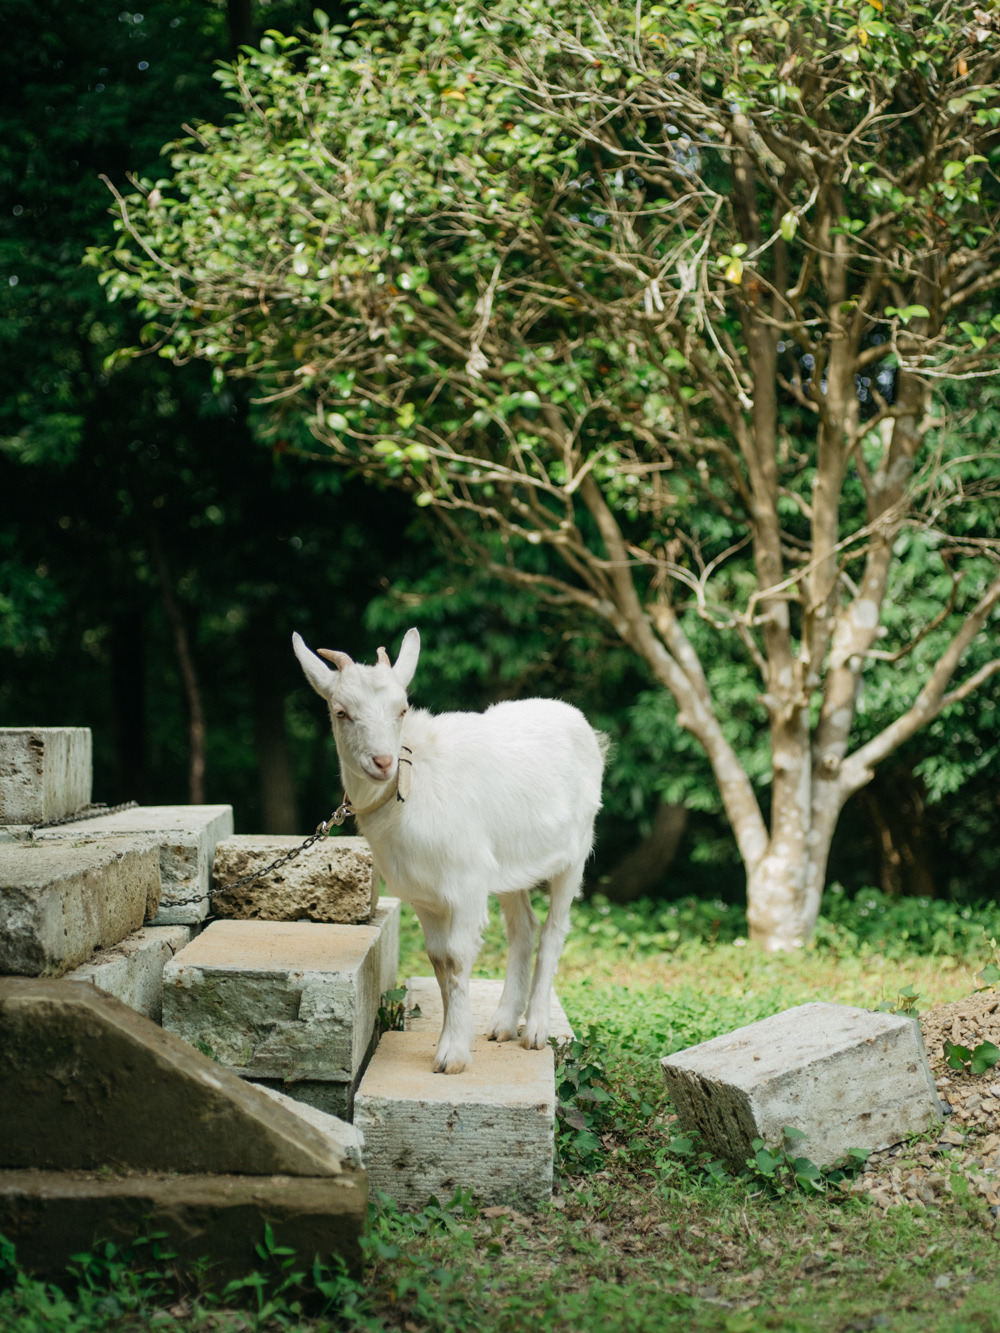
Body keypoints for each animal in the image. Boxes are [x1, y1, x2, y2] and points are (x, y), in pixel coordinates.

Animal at [292, 628, 606, 1074]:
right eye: (341, 712)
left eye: (402, 709)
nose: (383, 762)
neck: (413, 783)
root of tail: (577, 721)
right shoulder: (425, 895)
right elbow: (439, 960)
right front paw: (452, 1039)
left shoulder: (467, 883)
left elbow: (457, 959)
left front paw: (453, 1056)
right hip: (508, 865)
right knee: (523, 929)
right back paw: (502, 1024)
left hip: (575, 850)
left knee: (553, 931)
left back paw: (535, 1030)